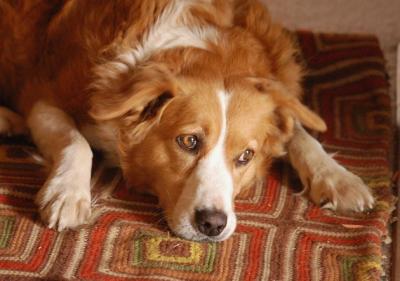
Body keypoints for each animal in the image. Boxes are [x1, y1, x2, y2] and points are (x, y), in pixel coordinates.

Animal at [0, 0, 376, 241]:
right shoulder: (42, 95)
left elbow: (299, 131)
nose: (213, 225)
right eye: (188, 141)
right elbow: (76, 141)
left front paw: (337, 177)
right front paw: (67, 193)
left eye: (246, 156)